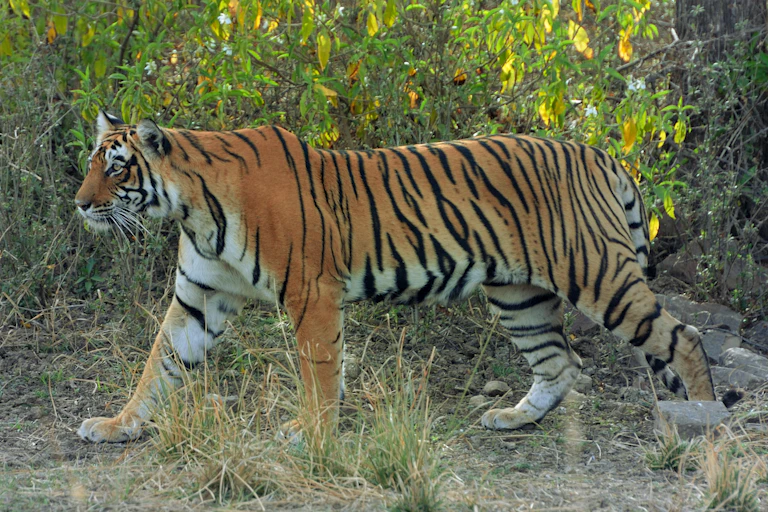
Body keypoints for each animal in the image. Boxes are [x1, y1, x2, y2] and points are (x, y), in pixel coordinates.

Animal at [75, 111, 717, 443]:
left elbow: (318, 373)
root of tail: (600, 154)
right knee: (561, 363)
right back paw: (512, 418)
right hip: (519, 294)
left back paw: (709, 425)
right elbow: (159, 364)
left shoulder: (312, 295)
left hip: (600, 275)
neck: (193, 207)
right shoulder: (199, 297)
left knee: (683, 338)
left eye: (118, 168)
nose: (79, 204)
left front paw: (312, 434)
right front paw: (116, 425)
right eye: (91, 164)